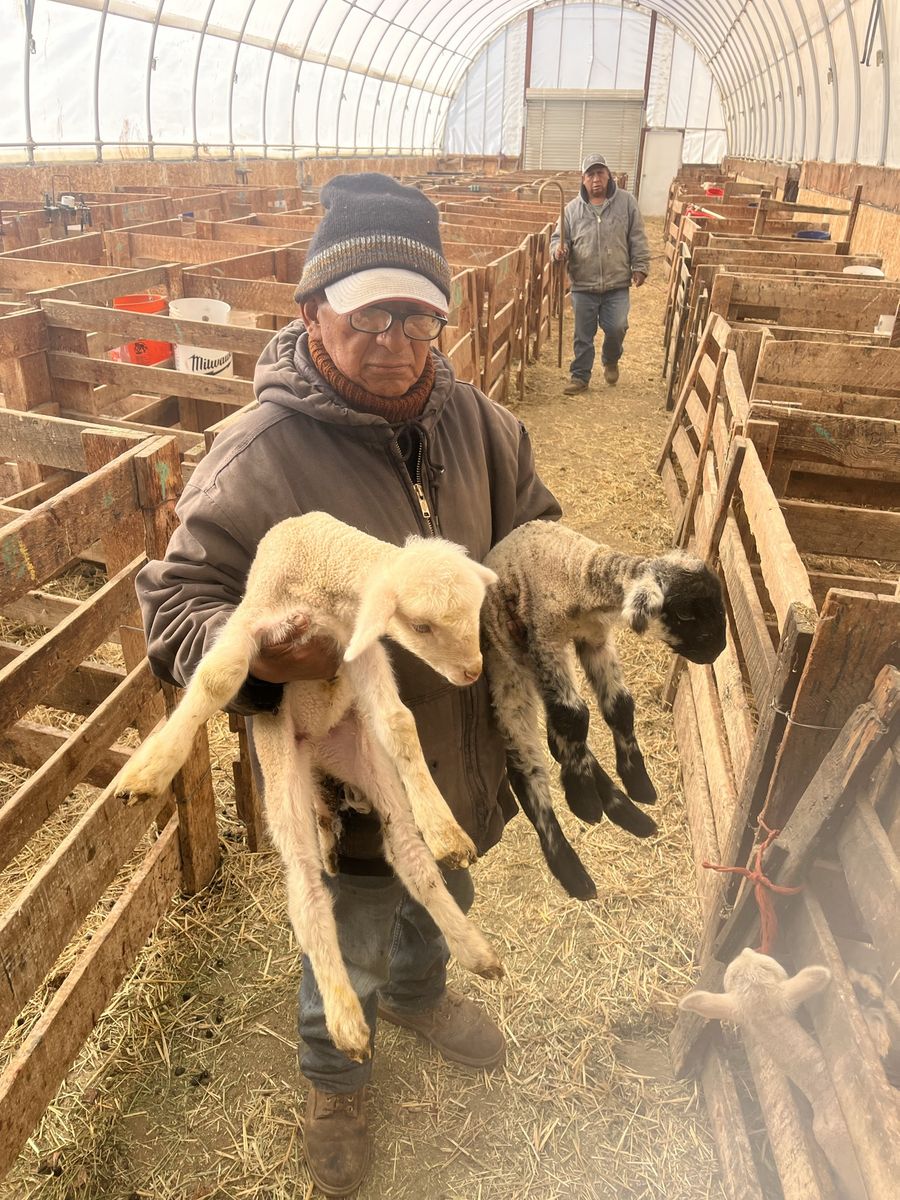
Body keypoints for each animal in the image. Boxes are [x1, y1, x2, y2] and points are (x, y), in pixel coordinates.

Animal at [114, 512, 503, 1063]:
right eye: (422, 626)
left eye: (475, 610)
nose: (471, 671)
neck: (324, 575)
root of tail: (320, 750)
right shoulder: (258, 621)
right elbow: (218, 678)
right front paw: (148, 770)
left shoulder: (356, 647)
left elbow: (398, 721)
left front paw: (446, 830)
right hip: (282, 772)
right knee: (304, 886)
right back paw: (345, 1019)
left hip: (363, 752)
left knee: (408, 853)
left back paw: (472, 945)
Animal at [481, 520, 726, 900]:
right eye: (685, 613)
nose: (719, 649)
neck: (578, 571)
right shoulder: (544, 638)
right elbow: (575, 715)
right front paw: (582, 798)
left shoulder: (595, 638)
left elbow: (619, 706)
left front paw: (637, 780)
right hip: (508, 673)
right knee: (529, 767)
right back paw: (570, 868)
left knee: (558, 738)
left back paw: (627, 811)